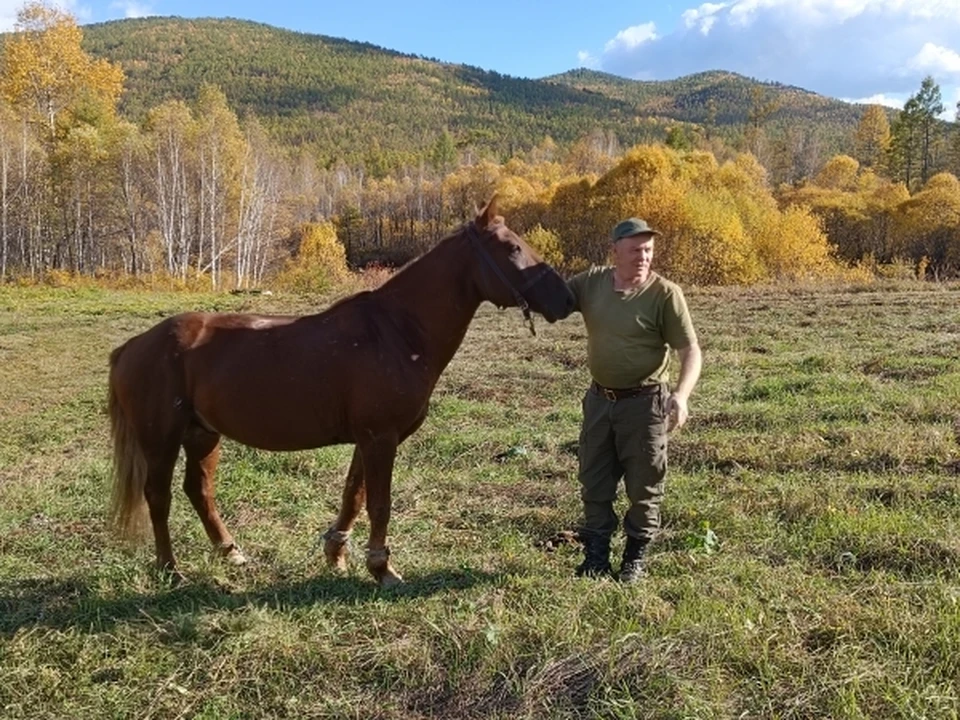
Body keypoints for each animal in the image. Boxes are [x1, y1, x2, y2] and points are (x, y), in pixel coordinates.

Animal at [110, 197, 576, 584]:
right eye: (512, 248)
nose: (568, 299)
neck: (396, 332)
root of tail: (134, 345)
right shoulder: (380, 438)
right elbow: (379, 503)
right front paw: (383, 569)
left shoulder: (368, 439)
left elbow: (354, 496)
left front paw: (337, 555)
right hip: (161, 439)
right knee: (159, 496)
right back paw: (170, 569)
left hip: (203, 434)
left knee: (199, 490)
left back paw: (231, 552)